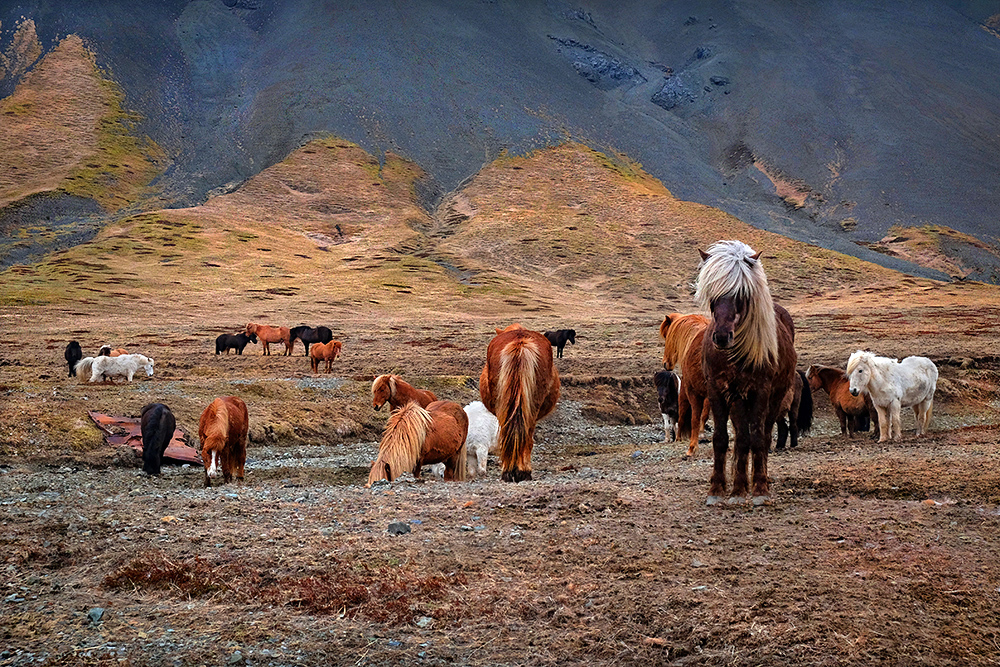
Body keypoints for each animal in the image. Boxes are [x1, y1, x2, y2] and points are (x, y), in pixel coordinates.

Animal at [696, 240, 796, 506]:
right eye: (712, 293)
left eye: (741, 294)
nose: (722, 337)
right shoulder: (719, 390)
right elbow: (724, 439)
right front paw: (721, 490)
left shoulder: (761, 391)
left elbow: (758, 438)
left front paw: (759, 490)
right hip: (738, 399)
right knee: (742, 437)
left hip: (774, 398)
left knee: (764, 434)